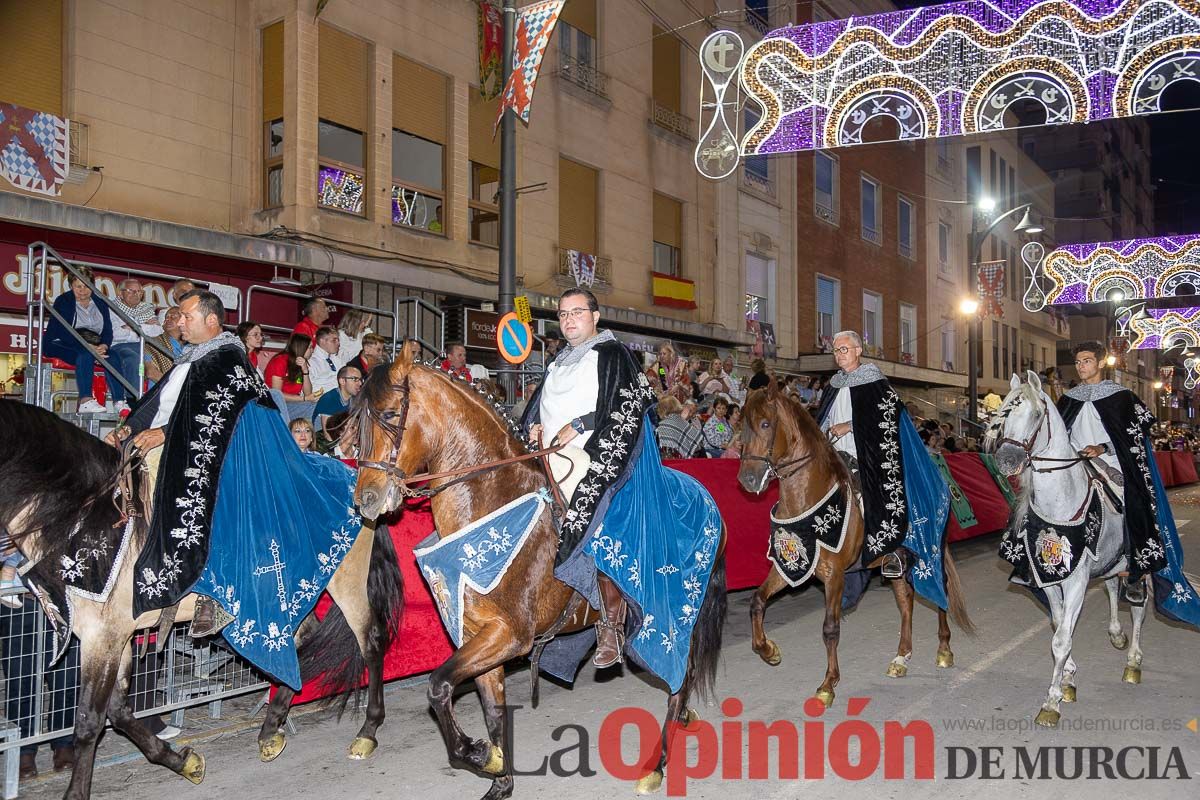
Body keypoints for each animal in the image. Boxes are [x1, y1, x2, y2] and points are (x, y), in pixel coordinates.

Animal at [0, 400, 403, 800]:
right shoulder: (113, 638)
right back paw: (271, 729)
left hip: (347, 581)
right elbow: (118, 710)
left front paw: (77, 792)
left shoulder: (105, 637)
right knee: (303, 638)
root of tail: (359, 482)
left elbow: (89, 720)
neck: (87, 518)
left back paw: (367, 732)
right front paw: (183, 762)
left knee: (370, 641)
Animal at [350, 347, 724, 800]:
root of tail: (704, 496)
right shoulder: (478, 635)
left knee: (678, 678)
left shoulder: (509, 634)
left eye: (390, 413)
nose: (366, 500)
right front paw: (499, 775)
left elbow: (437, 686)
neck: (492, 499)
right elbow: (491, 709)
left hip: (674, 617)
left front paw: (477, 754)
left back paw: (656, 765)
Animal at [729, 388, 974, 705]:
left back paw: (944, 650)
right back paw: (900, 658)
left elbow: (830, 628)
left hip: (932, 553)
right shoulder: (789, 566)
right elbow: (757, 601)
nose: (747, 479)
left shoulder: (834, 575)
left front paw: (827, 685)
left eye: (765, 424)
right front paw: (769, 651)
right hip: (894, 564)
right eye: (741, 426)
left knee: (939, 591)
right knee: (905, 601)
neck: (807, 495)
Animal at [988, 371, 1147, 729]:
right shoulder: (1050, 579)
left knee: (1139, 606)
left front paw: (1051, 702)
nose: (1007, 461)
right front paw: (1069, 679)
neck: (1060, 503)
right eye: (1003, 413)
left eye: (1036, 414)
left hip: (1141, 566)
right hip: (1110, 562)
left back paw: (1133, 662)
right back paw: (1116, 635)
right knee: (1112, 587)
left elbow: (1061, 639)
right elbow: (1060, 625)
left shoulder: (1075, 580)